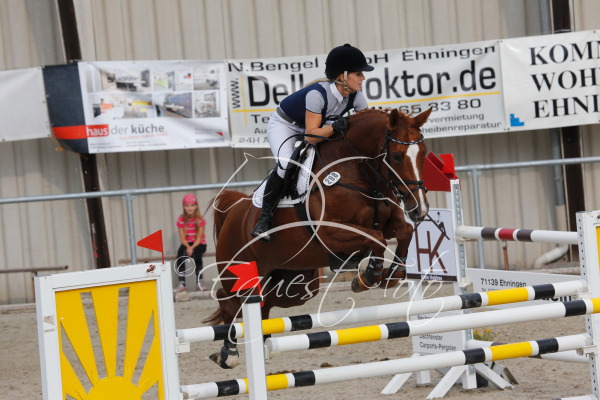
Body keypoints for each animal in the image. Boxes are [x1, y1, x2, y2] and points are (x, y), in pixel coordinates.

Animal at [204, 107, 432, 368]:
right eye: (396, 156)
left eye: (424, 153)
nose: (420, 210)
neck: (356, 173)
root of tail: (233, 211)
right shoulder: (330, 233)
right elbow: (377, 239)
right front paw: (368, 277)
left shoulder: (389, 222)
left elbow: (404, 232)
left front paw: (393, 274)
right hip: (238, 271)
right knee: (229, 300)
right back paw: (227, 354)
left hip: (296, 285)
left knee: (264, 302)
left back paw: (263, 343)